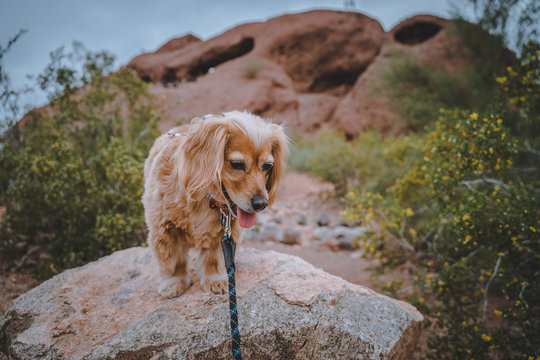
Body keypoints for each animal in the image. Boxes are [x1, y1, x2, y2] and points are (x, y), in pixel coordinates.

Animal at [141, 112, 288, 298]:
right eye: (237, 164)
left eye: (267, 166)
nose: (261, 204)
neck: (207, 197)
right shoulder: (165, 229)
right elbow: (172, 261)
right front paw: (172, 284)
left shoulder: (224, 234)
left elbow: (214, 259)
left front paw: (215, 281)